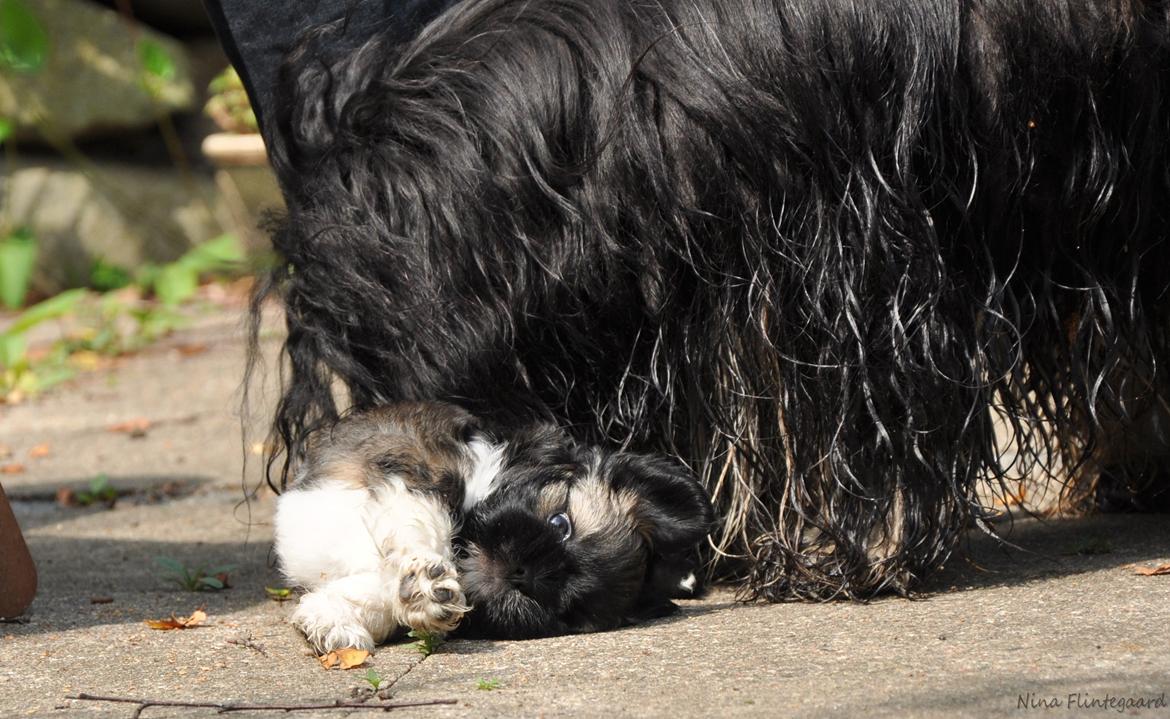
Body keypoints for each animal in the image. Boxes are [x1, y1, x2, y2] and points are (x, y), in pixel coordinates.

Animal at [273, 402, 711, 650]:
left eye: (567, 612)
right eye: (560, 523)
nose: (526, 574)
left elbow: (378, 591)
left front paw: (331, 619)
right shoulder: (414, 471)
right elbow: (423, 521)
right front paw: (427, 586)